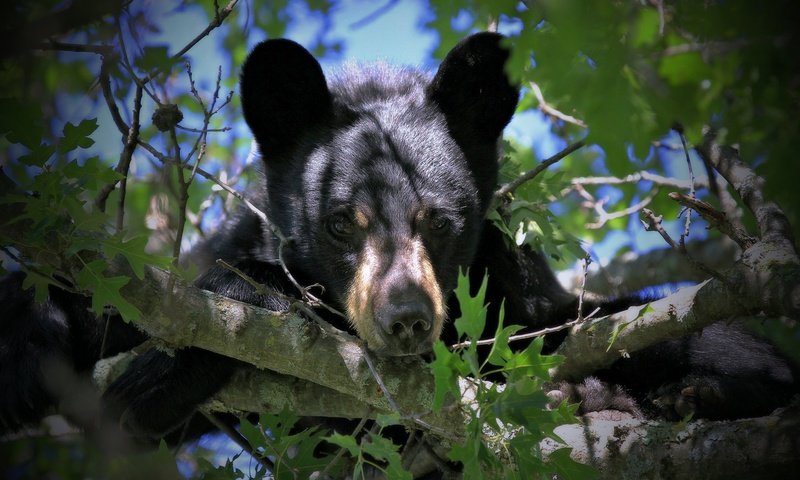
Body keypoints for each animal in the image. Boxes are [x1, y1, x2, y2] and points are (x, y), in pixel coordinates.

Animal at [0, 34, 792, 446]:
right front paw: (38, 339)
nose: (406, 317)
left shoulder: (504, 304)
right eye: (339, 221)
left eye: (438, 220)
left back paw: (680, 393)